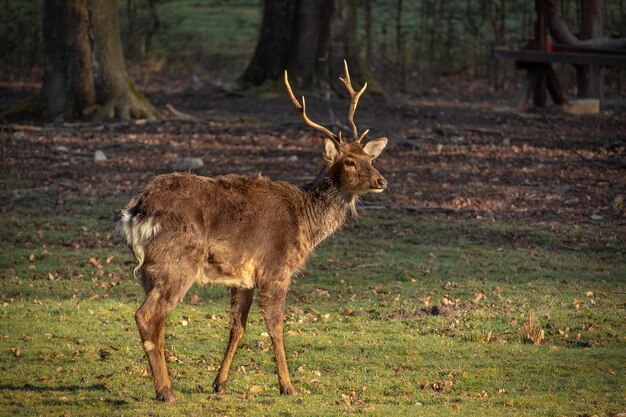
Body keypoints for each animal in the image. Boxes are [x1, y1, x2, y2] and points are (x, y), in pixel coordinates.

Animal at [113, 60, 386, 402]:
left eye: (370, 157)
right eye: (349, 161)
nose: (381, 181)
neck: (305, 222)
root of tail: (137, 210)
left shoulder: (242, 278)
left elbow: (237, 327)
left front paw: (219, 383)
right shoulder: (274, 269)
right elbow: (276, 328)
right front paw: (288, 386)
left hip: (150, 273)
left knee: (157, 319)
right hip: (176, 263)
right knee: (147, 315)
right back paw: (166, 391)